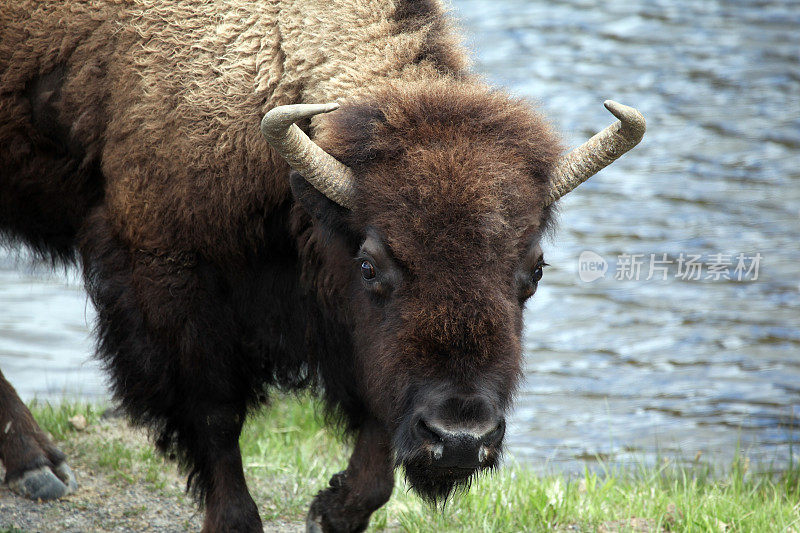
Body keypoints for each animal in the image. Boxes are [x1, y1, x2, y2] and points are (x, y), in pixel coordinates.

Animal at [0, 0, 640, 528]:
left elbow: (377, 440)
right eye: (370, 266)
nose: (459, 438)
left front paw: (330, 510)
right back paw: (39, 469)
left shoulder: (353, 340)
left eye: (534, 270)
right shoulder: (168, 281)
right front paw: (236, 521)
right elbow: (215, 417)